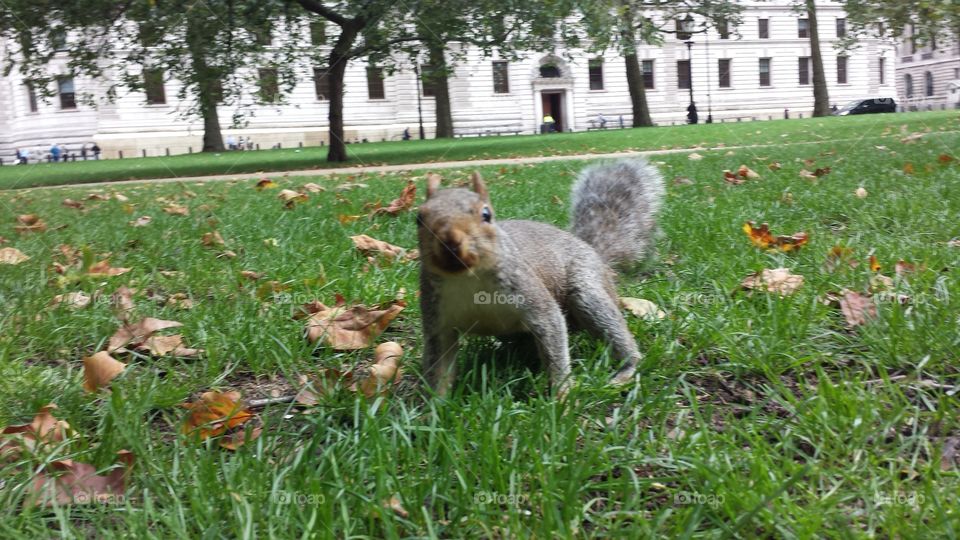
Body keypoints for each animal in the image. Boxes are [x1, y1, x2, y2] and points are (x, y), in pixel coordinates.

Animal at [417, 158, 665, 397]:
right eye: (418, 218)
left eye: (486, 214)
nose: (450, 241)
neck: (467, 278)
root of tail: (593, 252)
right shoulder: (437, 322)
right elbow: (439, 367)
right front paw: (435, 405)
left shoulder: (532, 297)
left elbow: (553, 332)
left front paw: (562, 394)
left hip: (587, 287)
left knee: (612, 328)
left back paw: (626, 369)